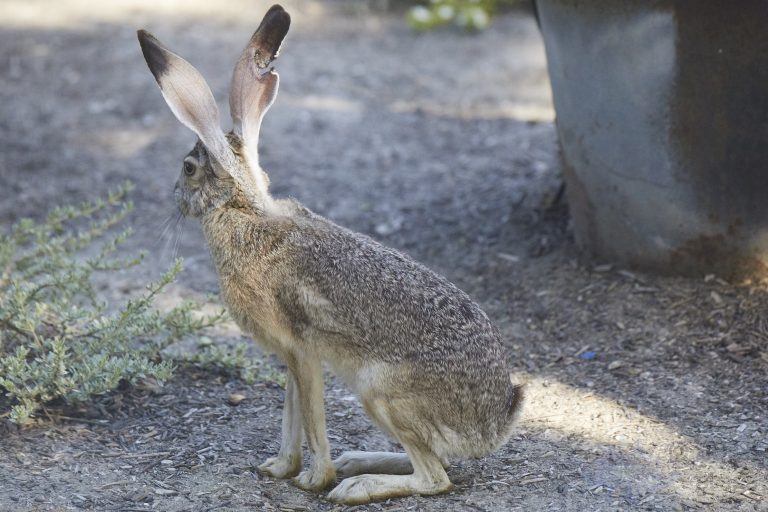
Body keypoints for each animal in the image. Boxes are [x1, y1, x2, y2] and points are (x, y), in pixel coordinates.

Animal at [137, 4, 523, 505]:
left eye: (188, 168)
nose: (176, 198)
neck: (245, 211)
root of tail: (496, 422)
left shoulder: (301, 350)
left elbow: (310, 414)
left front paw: (312, 479)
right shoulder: (290, 355)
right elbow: (291, 411)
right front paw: (279, 467)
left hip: (379, 392)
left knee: (435, 477)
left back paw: (354, 485)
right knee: (439, 462)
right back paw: (357, 460)